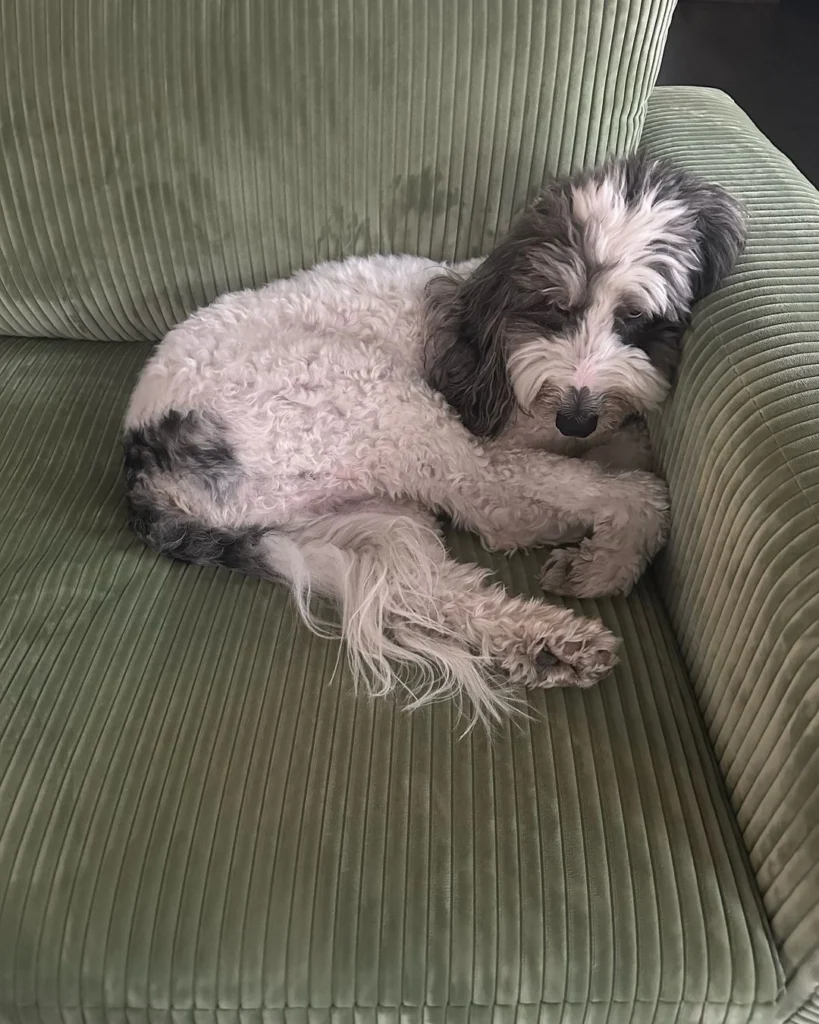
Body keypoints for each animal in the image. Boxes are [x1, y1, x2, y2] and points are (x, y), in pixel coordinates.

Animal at [124, 155, 745, 724]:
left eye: (636, 318)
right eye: (554, 309)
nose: (577, 418)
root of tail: (141, 464)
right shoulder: (503, 444)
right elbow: (628, 485)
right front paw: (608, 561)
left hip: (351, 514)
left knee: (431, 586)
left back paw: (547, 646)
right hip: (380, 400)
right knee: (505, 508)